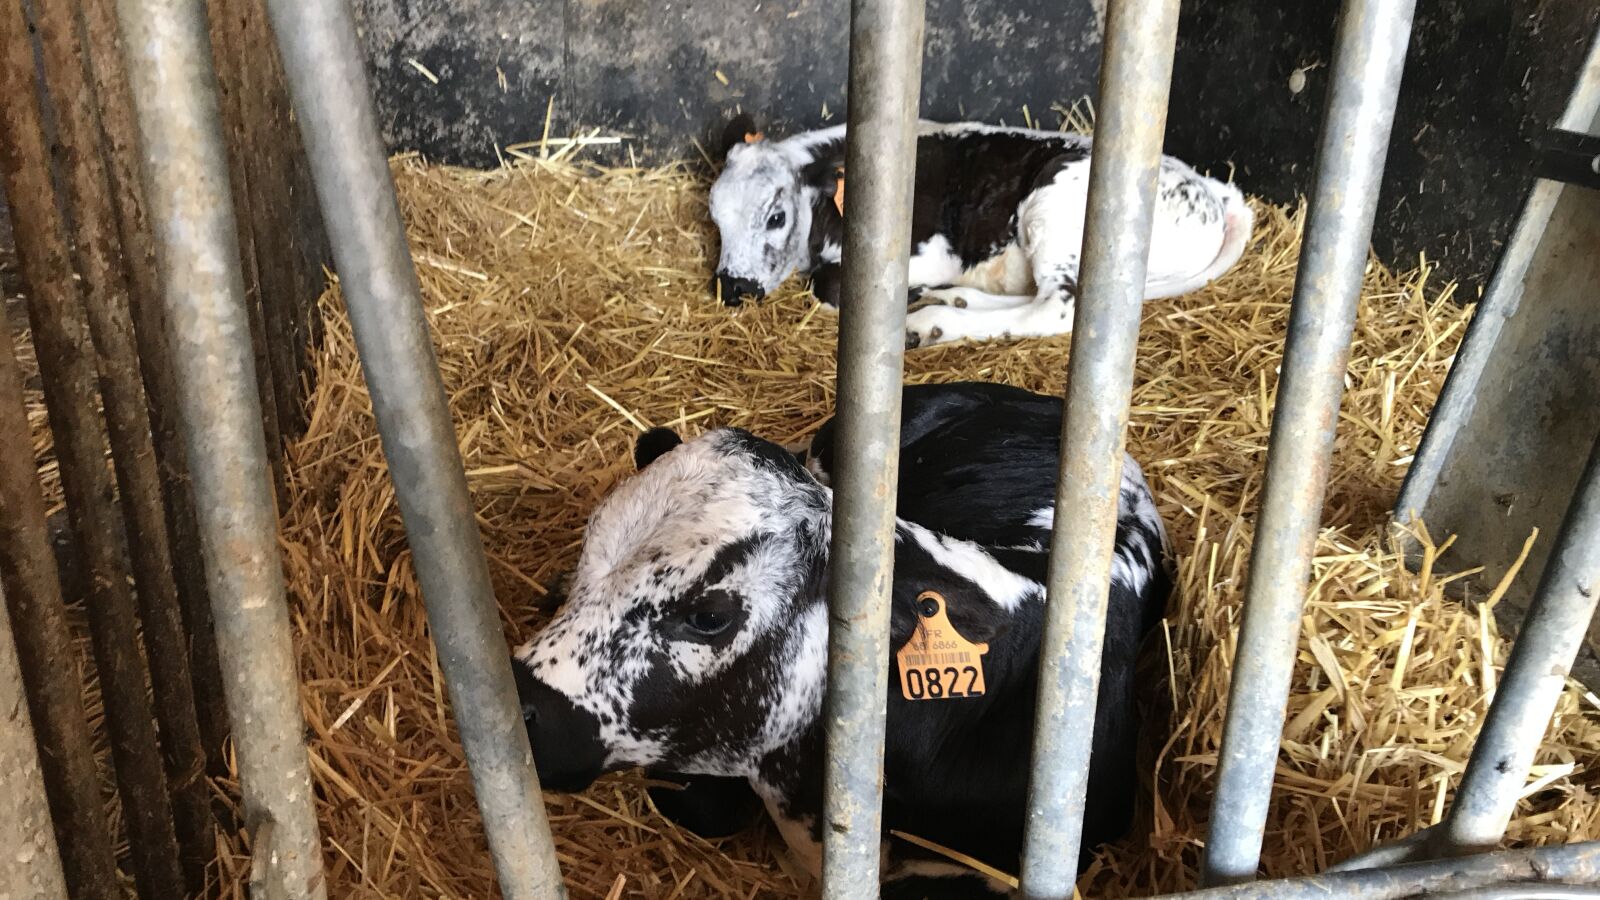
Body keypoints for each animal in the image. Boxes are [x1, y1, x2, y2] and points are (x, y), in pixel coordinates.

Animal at [707, 115, 1254, 349]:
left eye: (776, 217)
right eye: (714, 215)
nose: (731, 287)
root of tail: (1210, 188)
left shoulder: (926, 252)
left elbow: (828, 284)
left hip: (1056, 209)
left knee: (1057, 308)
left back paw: (931, 323)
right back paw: (953, 302)